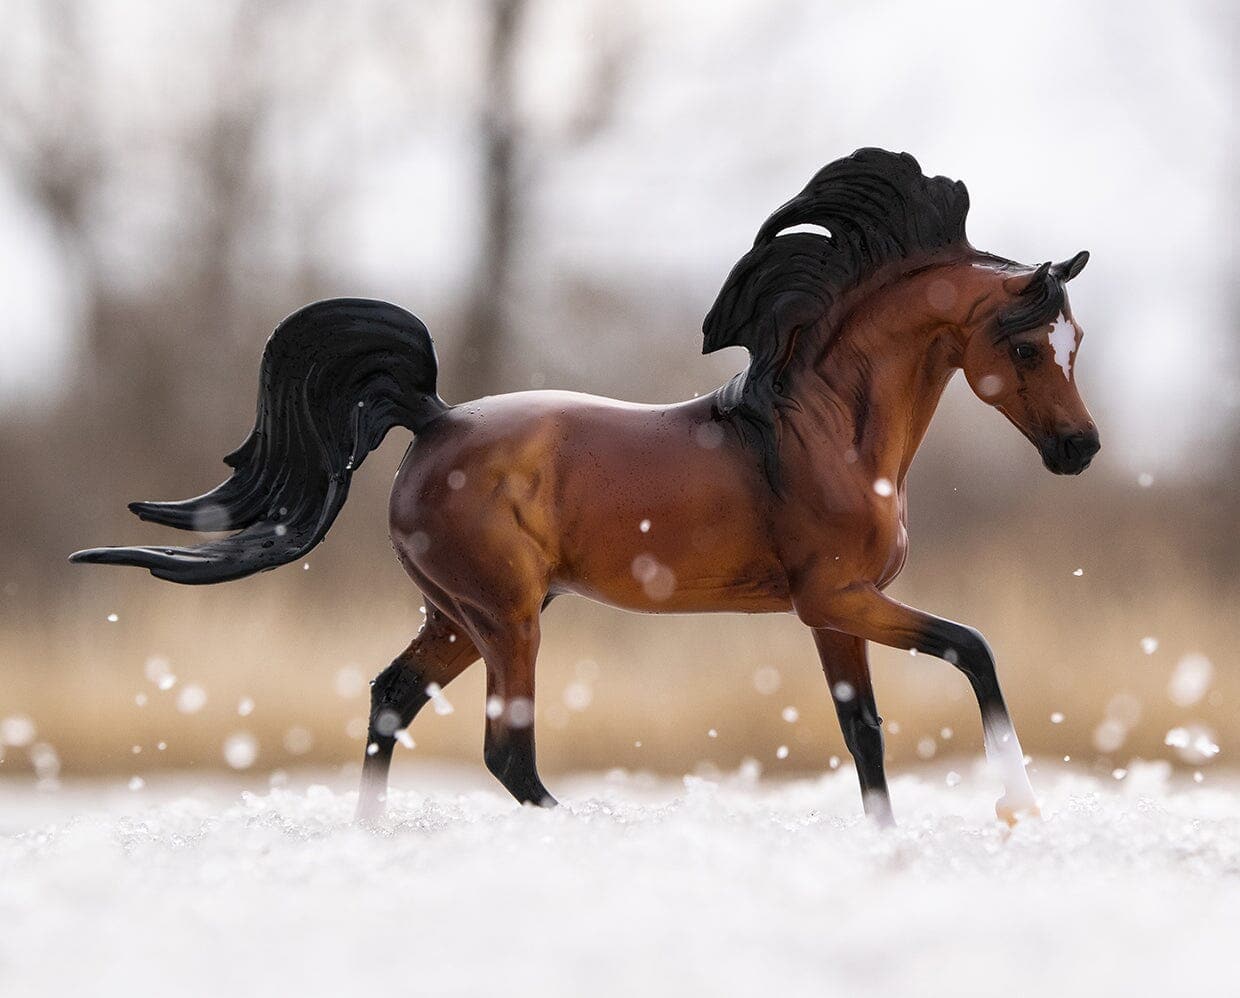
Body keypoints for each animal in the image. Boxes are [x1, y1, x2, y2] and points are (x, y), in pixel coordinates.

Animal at [70, 143, 1096, 823]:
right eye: (1029, 346)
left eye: (1076, 341)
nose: (1079, 449)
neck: (822, 432)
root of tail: (432, 417)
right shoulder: (837, 599)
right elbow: (969, 657)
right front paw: (1017, 808)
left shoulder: (837, 611)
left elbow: (873, 730)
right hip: (508, 620)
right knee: (507, 756)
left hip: (458, 617)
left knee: (391, 700)